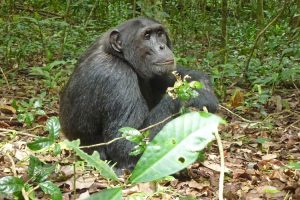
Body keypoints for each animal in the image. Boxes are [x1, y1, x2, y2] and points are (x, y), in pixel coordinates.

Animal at [59, 16, 218, 171]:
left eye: (159, 33)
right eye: (147, 36)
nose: (161, 47)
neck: (120, 57)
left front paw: (202, 84)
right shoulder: (116, 76)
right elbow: (125, 146)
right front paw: (195, 96)